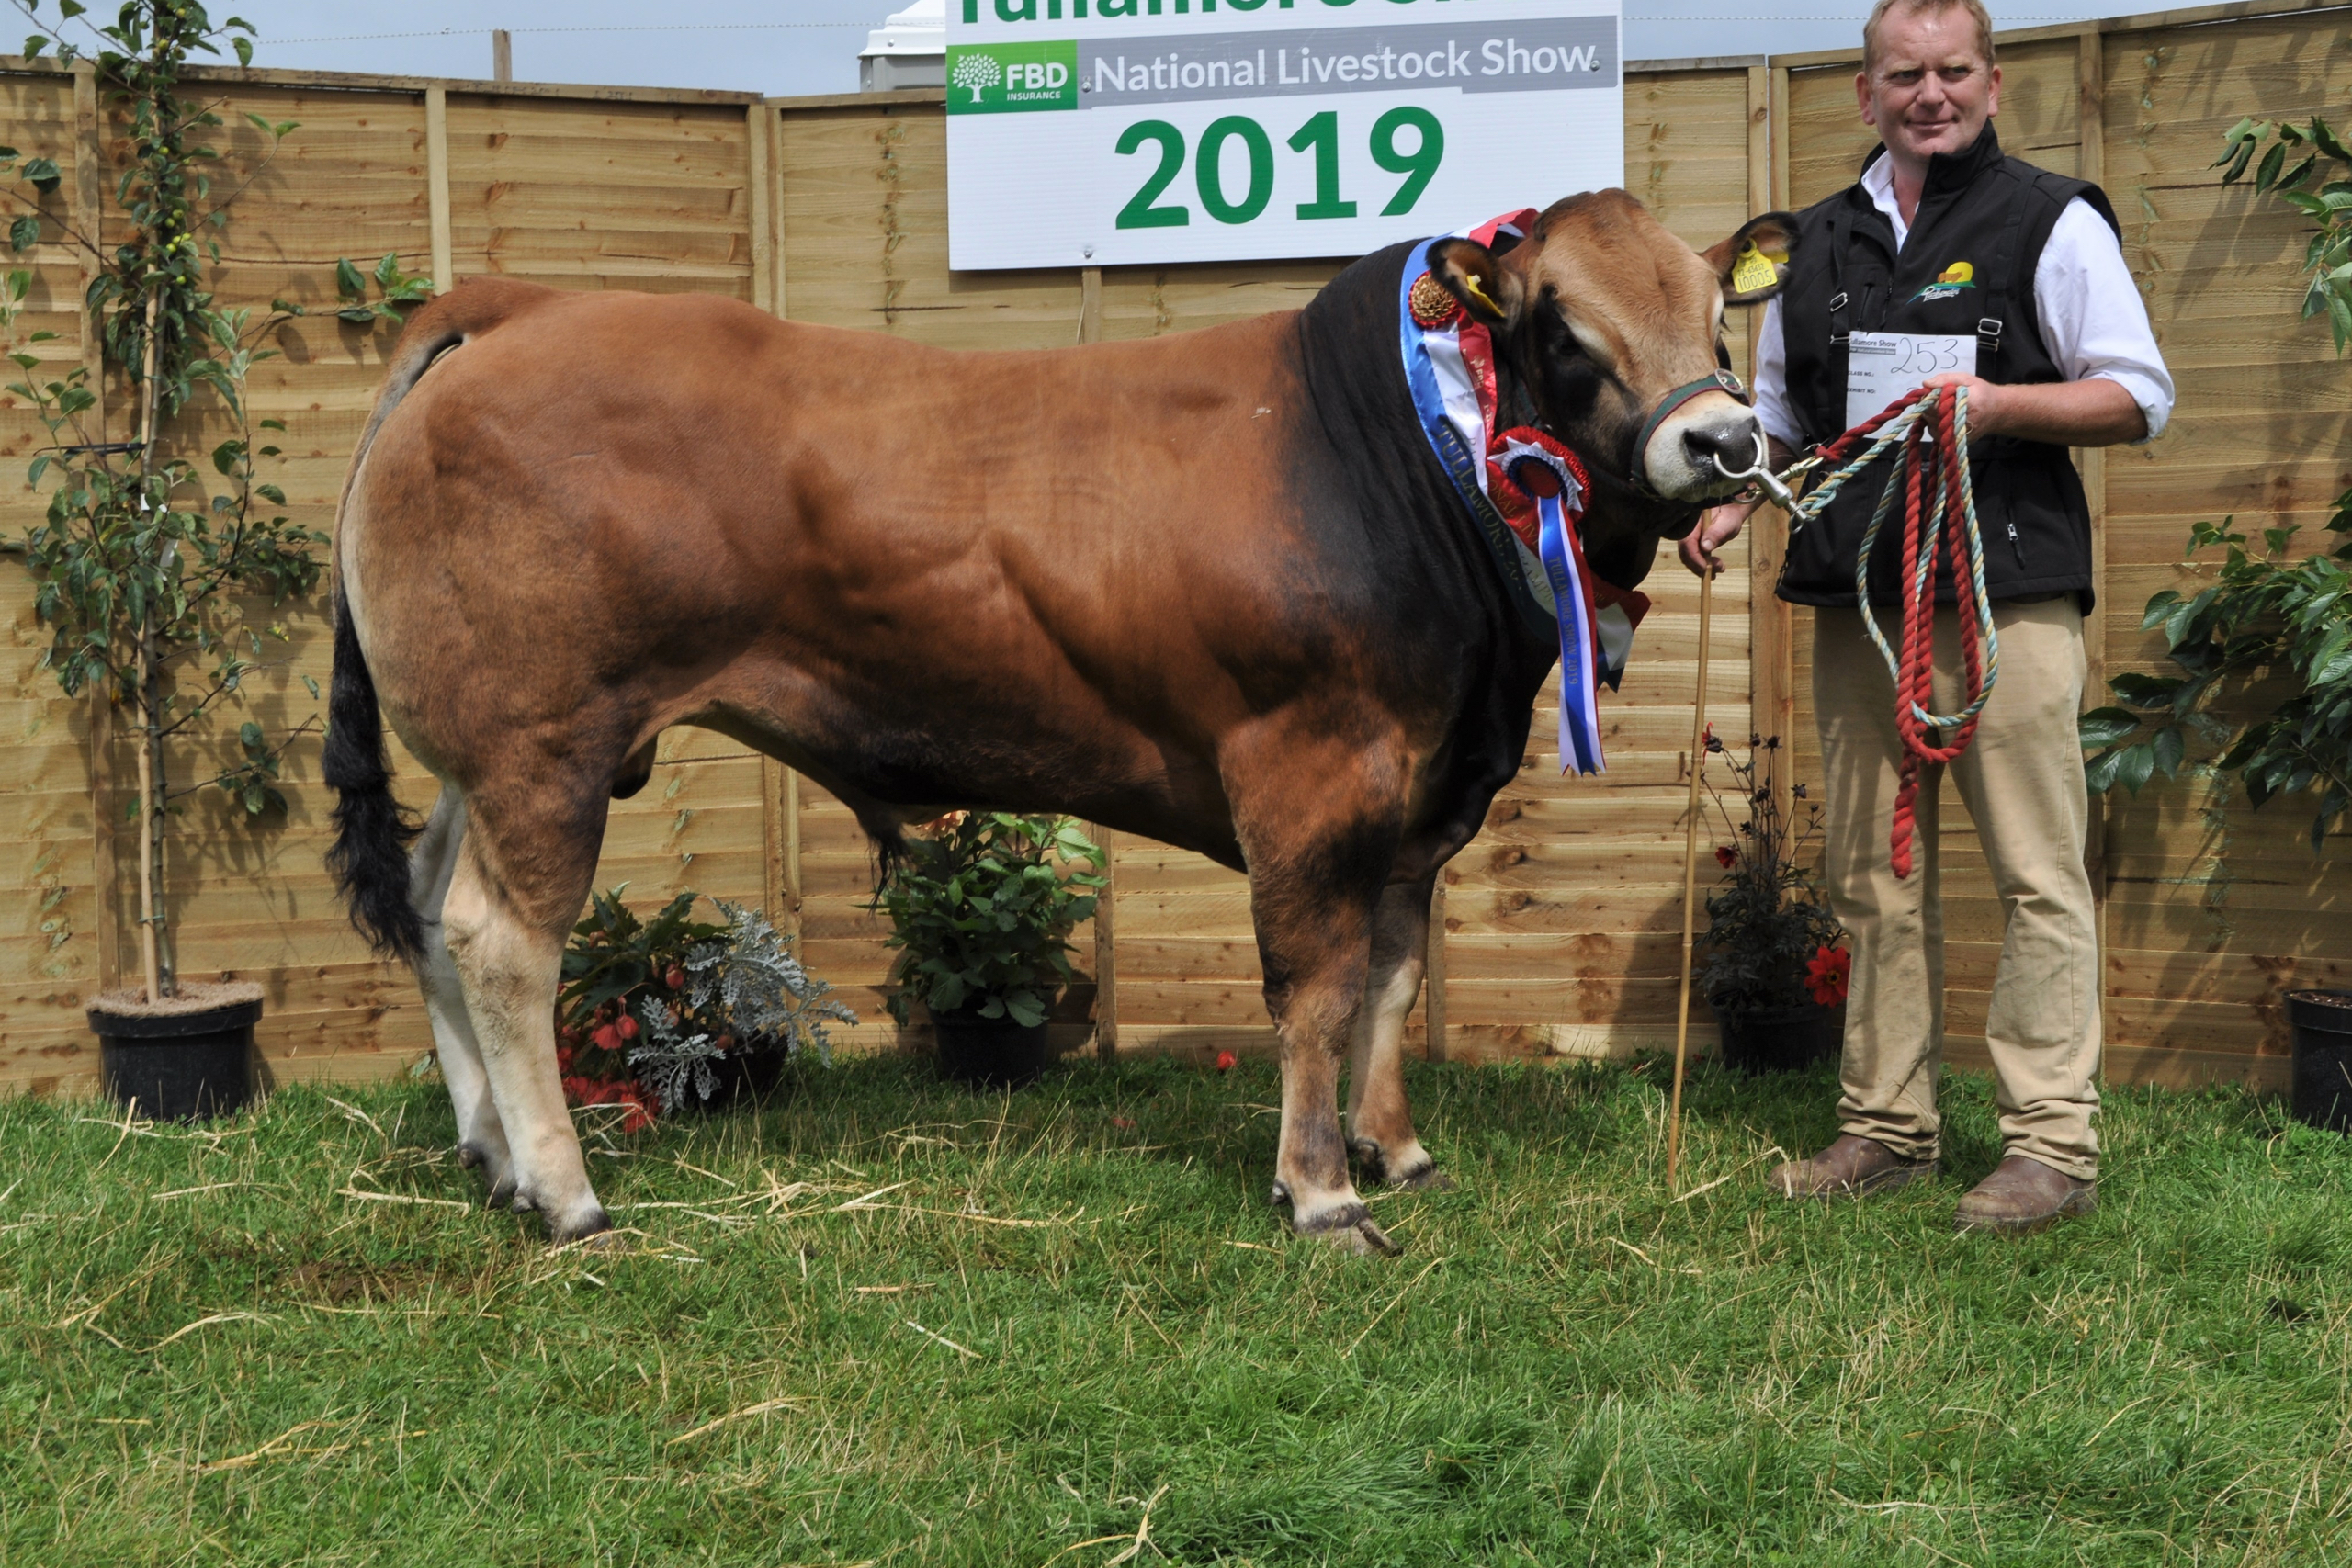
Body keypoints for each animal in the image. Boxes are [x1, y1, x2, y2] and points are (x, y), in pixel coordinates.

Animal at [326, 192, 1796, 1250]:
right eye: (1562, 329)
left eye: (1720, 321)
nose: (1723, 443)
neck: (1393, 455)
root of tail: (516, 308)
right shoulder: (1311, 772)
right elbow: (1318, 986)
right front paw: (1323, 1193)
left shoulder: (1421, 788)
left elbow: (1392, 976)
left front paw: (1402, 1151)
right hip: (546, 742)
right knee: (503, 941)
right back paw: (568, 1195)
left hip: (477, 755)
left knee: (430, 903)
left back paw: (492, 1161)